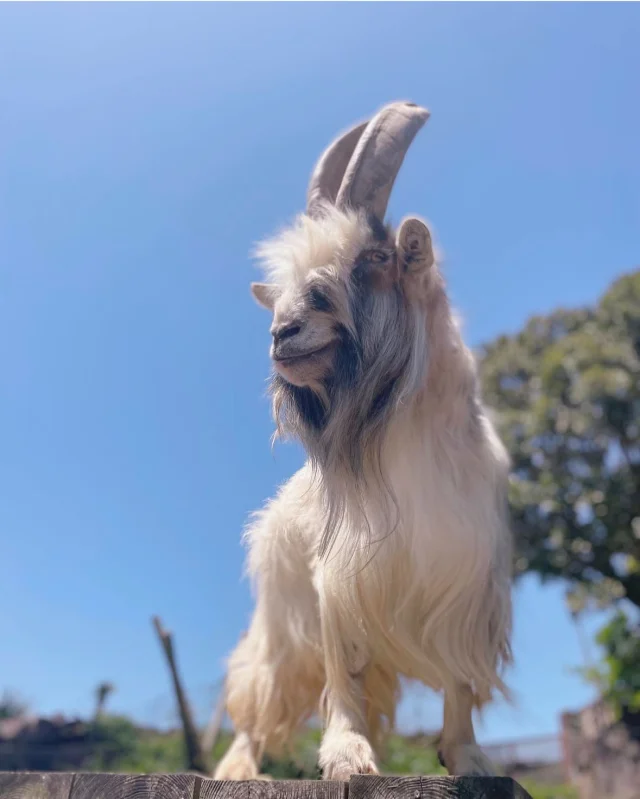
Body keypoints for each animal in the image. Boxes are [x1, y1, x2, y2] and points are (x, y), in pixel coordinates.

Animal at [215, 100, 516, 780]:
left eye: (373, 260)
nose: (283, 333)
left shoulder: (462, 580)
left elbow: (459, 681)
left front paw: (467, 757)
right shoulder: (339, 581)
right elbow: (342, 669)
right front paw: (347, 754)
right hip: (282, 617)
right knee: (259, 689)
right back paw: (238, 767)